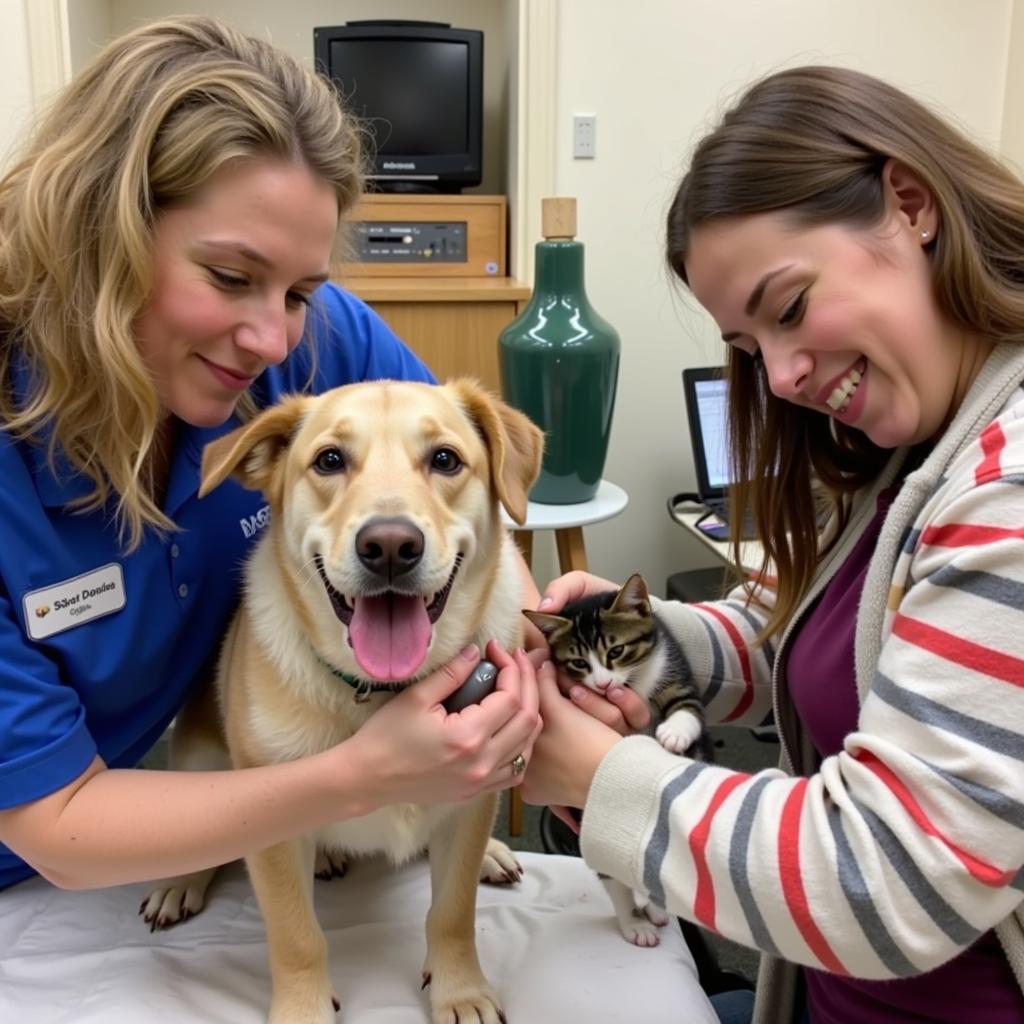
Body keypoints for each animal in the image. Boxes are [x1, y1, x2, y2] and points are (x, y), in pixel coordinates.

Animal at [147, 382, 544, 1024]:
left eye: (445, 459)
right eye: (329, 460)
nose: (390, 546)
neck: (382, 693)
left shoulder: (470, 805)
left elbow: (452, 913)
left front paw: (460, 990)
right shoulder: (271, 826)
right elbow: (296, 936)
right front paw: (303, 1009)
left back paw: (491, 854)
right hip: (201, 761)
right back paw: (185, 881)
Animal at [524, 573, 708, 946]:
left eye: (616, 651)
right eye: (579, 663)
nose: (604, 684)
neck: (634, 682)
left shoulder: (673, 665)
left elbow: (687, 705)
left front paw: (675, 732)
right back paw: (636, 919)